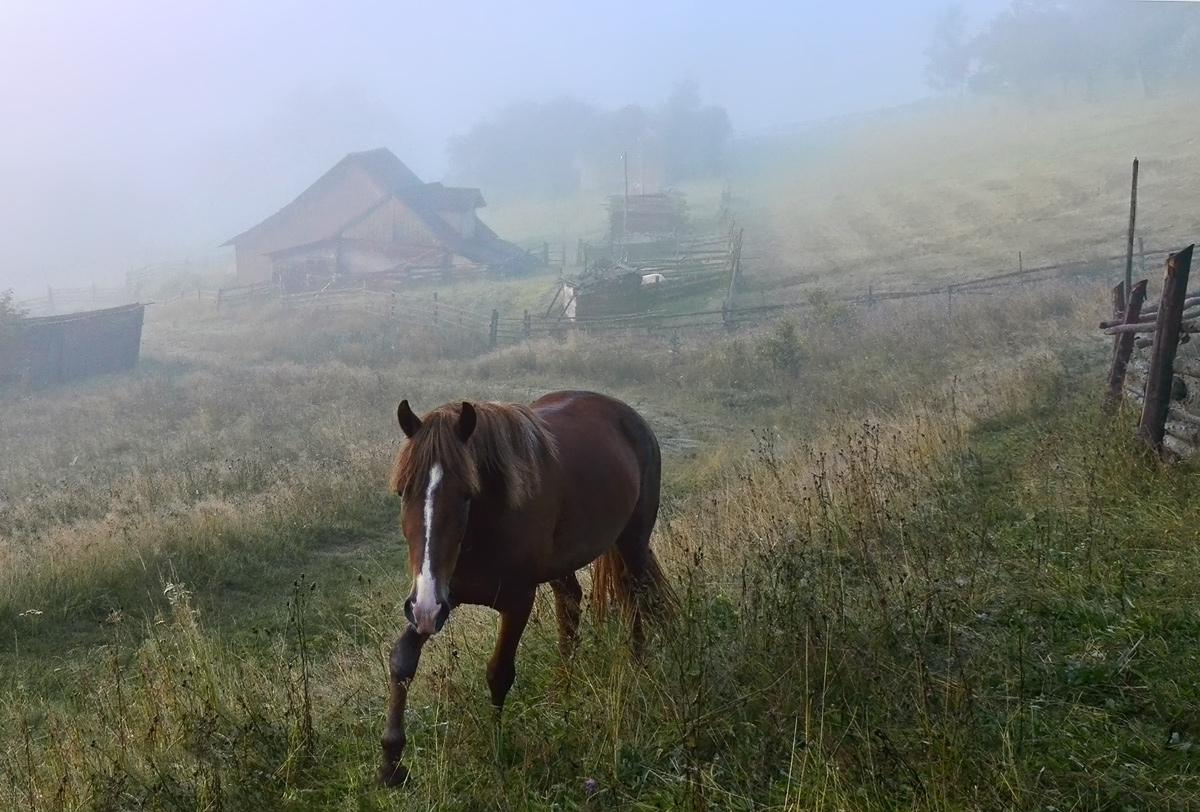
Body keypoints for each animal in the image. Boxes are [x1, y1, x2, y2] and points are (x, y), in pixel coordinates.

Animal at [376, 388, 676, 782]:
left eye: (466, 493)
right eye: (403, 492)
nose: (423, 607)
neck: (486, 525)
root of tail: (628, 415)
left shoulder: (516, 601)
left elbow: (499, 672)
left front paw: (496, 750)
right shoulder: (440, 596)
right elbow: (402, 660)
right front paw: (391, 761)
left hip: (633, 540)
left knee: (634, 594)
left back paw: (638, 666)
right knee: (571, 606)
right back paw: (560, 689)